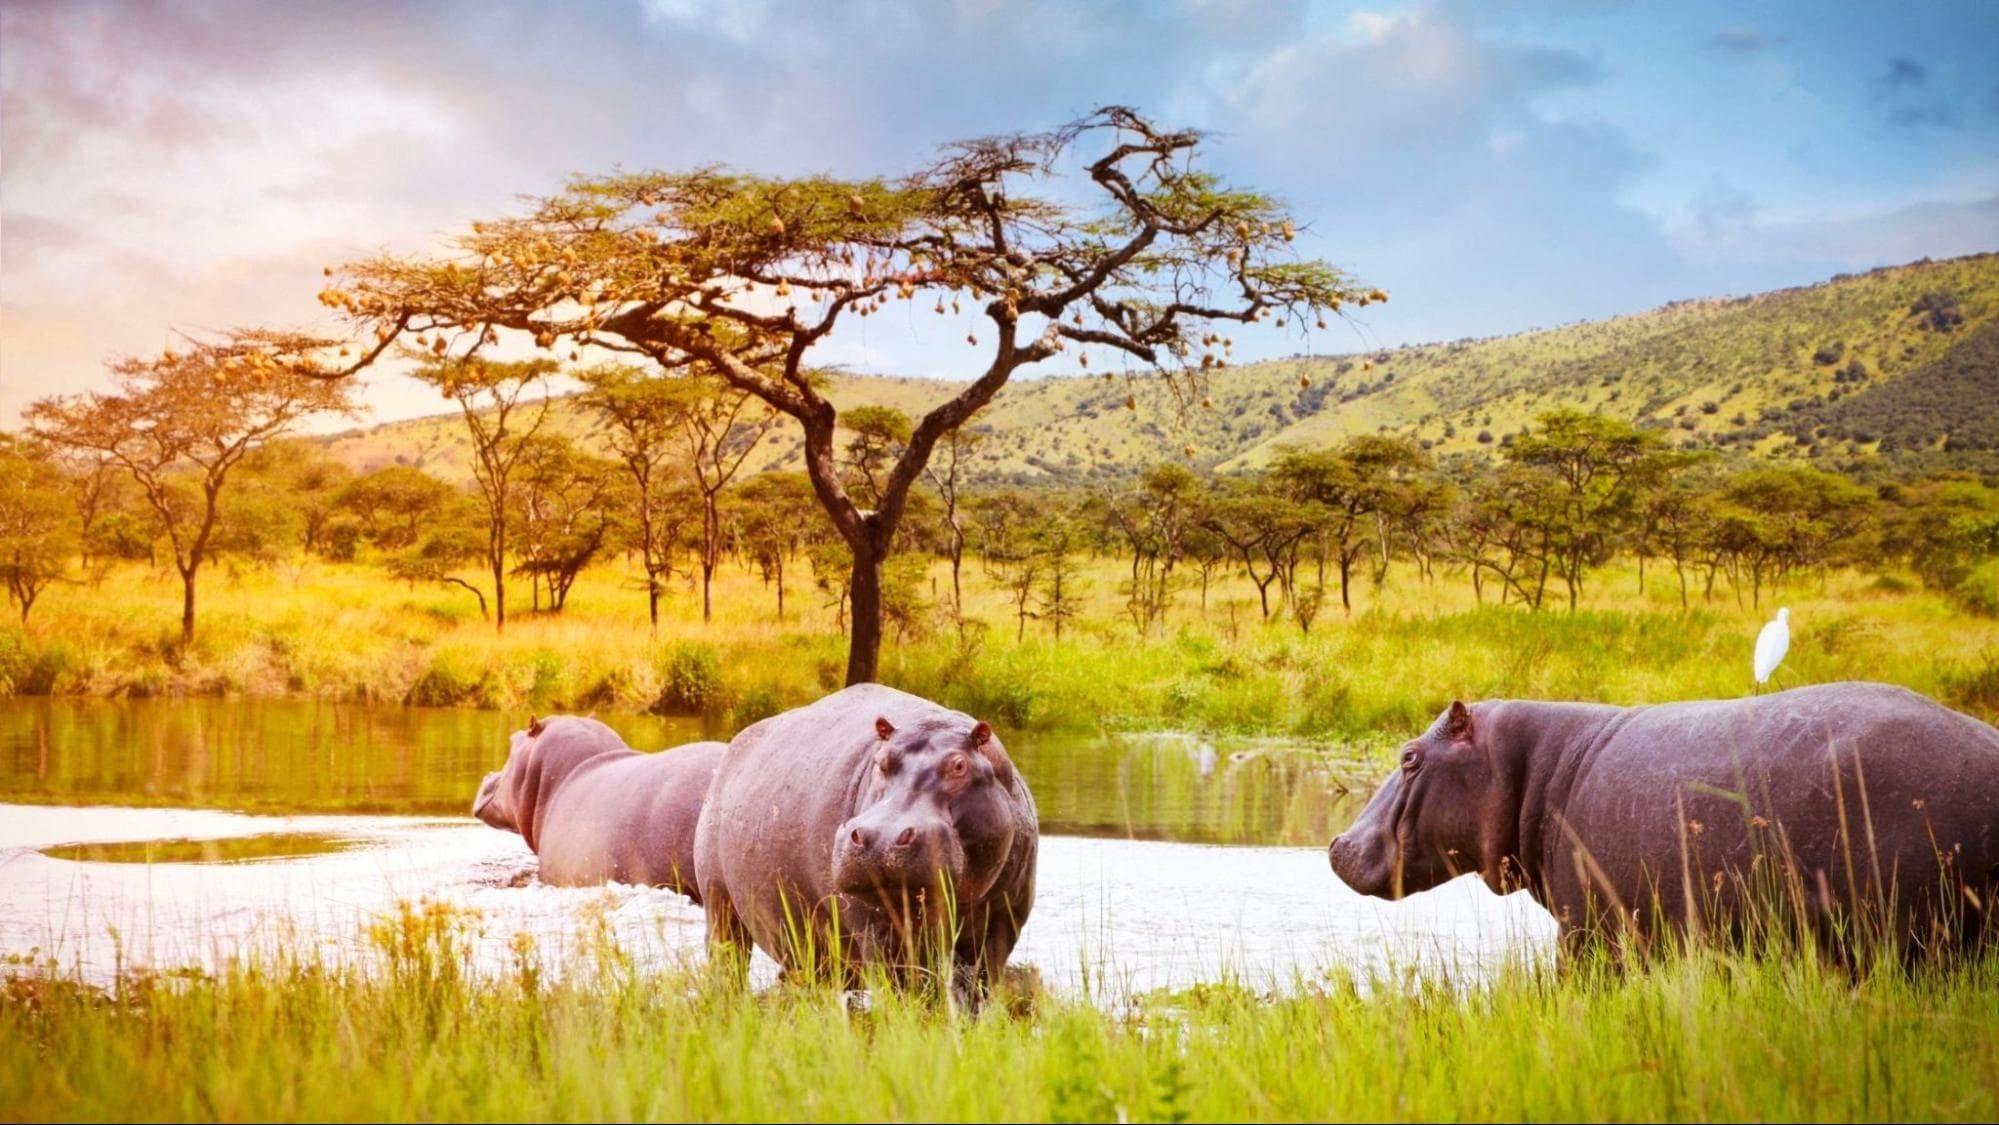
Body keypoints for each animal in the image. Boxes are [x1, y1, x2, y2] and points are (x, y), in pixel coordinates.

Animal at [695, 683, 1039, 1007]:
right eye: (881, 761)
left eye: (959, 766)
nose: (881, 839)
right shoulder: (874, 929)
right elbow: (900, 990)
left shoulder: (1000, 926)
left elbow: (978, 988)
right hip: (719, 903)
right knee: (728, 959)